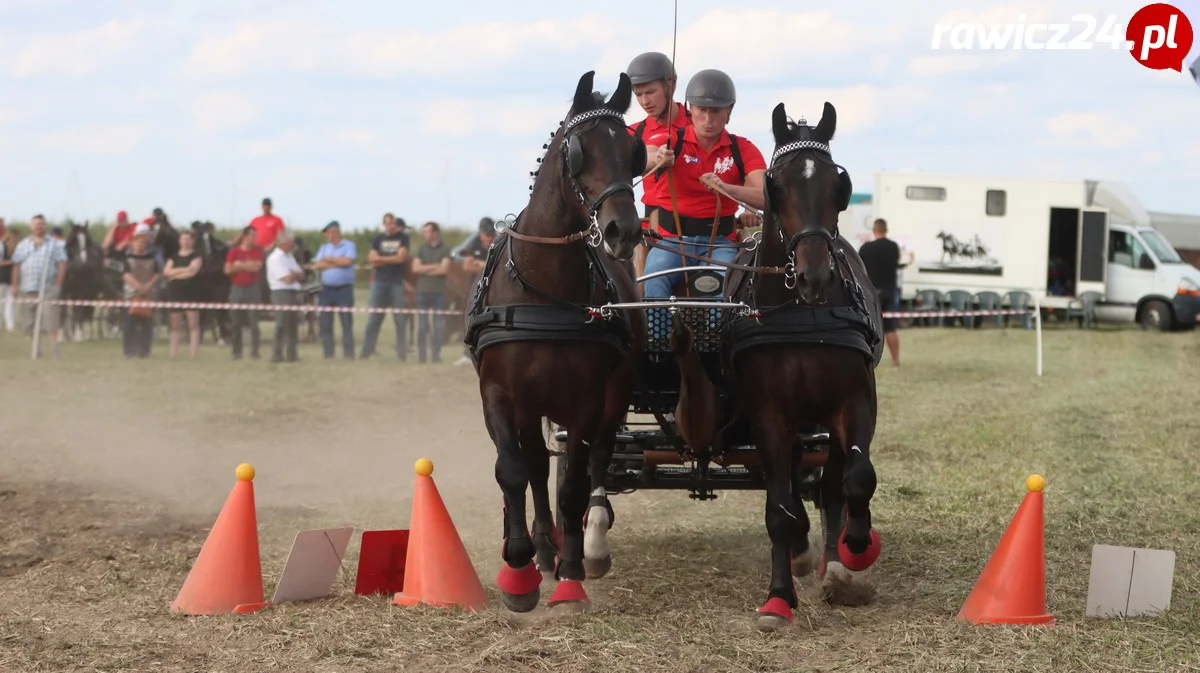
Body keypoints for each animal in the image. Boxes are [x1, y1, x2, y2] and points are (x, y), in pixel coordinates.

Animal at [463, 72, 648, 614]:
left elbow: (573, 485)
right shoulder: (498, 395)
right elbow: (513, 471)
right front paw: (519, 563)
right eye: (579, 150)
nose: (623, 230)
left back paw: (586, 545)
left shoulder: (585, 400)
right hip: (531, 405)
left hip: (611, 398)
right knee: (534, 467)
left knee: (596, 463)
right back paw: (542, 548)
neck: (542, 290)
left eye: (632, 150)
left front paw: (571, 571)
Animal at [681, 100, 888, 628]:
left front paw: (857, 549)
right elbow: (778, 507)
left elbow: (856, 479)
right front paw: (778, 596)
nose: (815, 274)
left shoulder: (855, 402)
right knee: (793, 486)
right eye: (776, 183)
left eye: (839, 184)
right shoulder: (768, 414)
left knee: (831, 483)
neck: (802, 313)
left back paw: (835, 562)